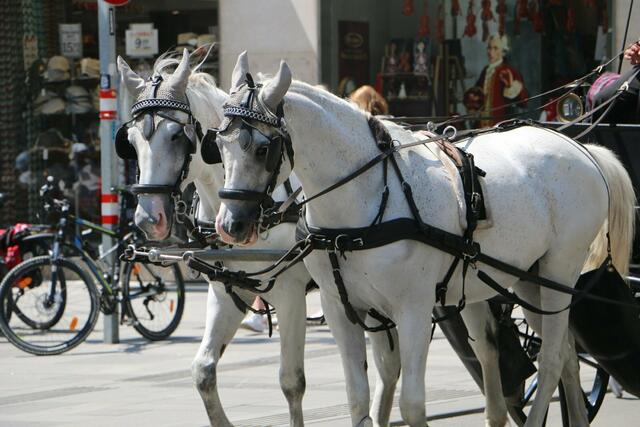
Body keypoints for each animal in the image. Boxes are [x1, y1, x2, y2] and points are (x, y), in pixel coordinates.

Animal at [116, 49, 312, 427]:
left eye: (176, 136)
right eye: (130, 141)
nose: (149, 219)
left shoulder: (291, 292)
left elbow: (292, 382)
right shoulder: (228, 289)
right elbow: (203, 370)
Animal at [210, 52, 636, 427]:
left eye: (263, 149)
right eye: (218, 146)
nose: (231, 225)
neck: (364, 199)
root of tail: (582, 148)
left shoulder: (413, 309)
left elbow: (412, 405)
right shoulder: (340, 308)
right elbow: (358, 399)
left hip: (559, 271)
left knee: (549, 361)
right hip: (529, 279)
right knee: (565, 355)